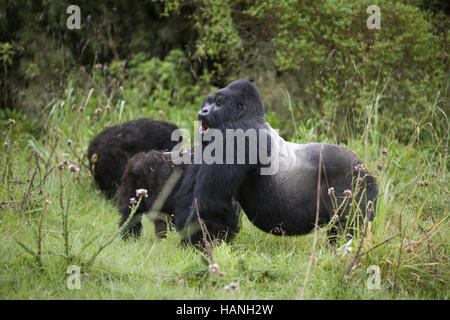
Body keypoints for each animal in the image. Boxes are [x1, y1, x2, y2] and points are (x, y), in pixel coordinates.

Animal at [174, 79, 378, 245]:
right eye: (207, 102)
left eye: (218, 103)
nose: (203, 110)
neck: (245, 115)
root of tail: (363, 166)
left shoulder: (235, 136)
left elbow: (211, 203)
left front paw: (198, 245)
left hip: (355, 181)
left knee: (349, 225)